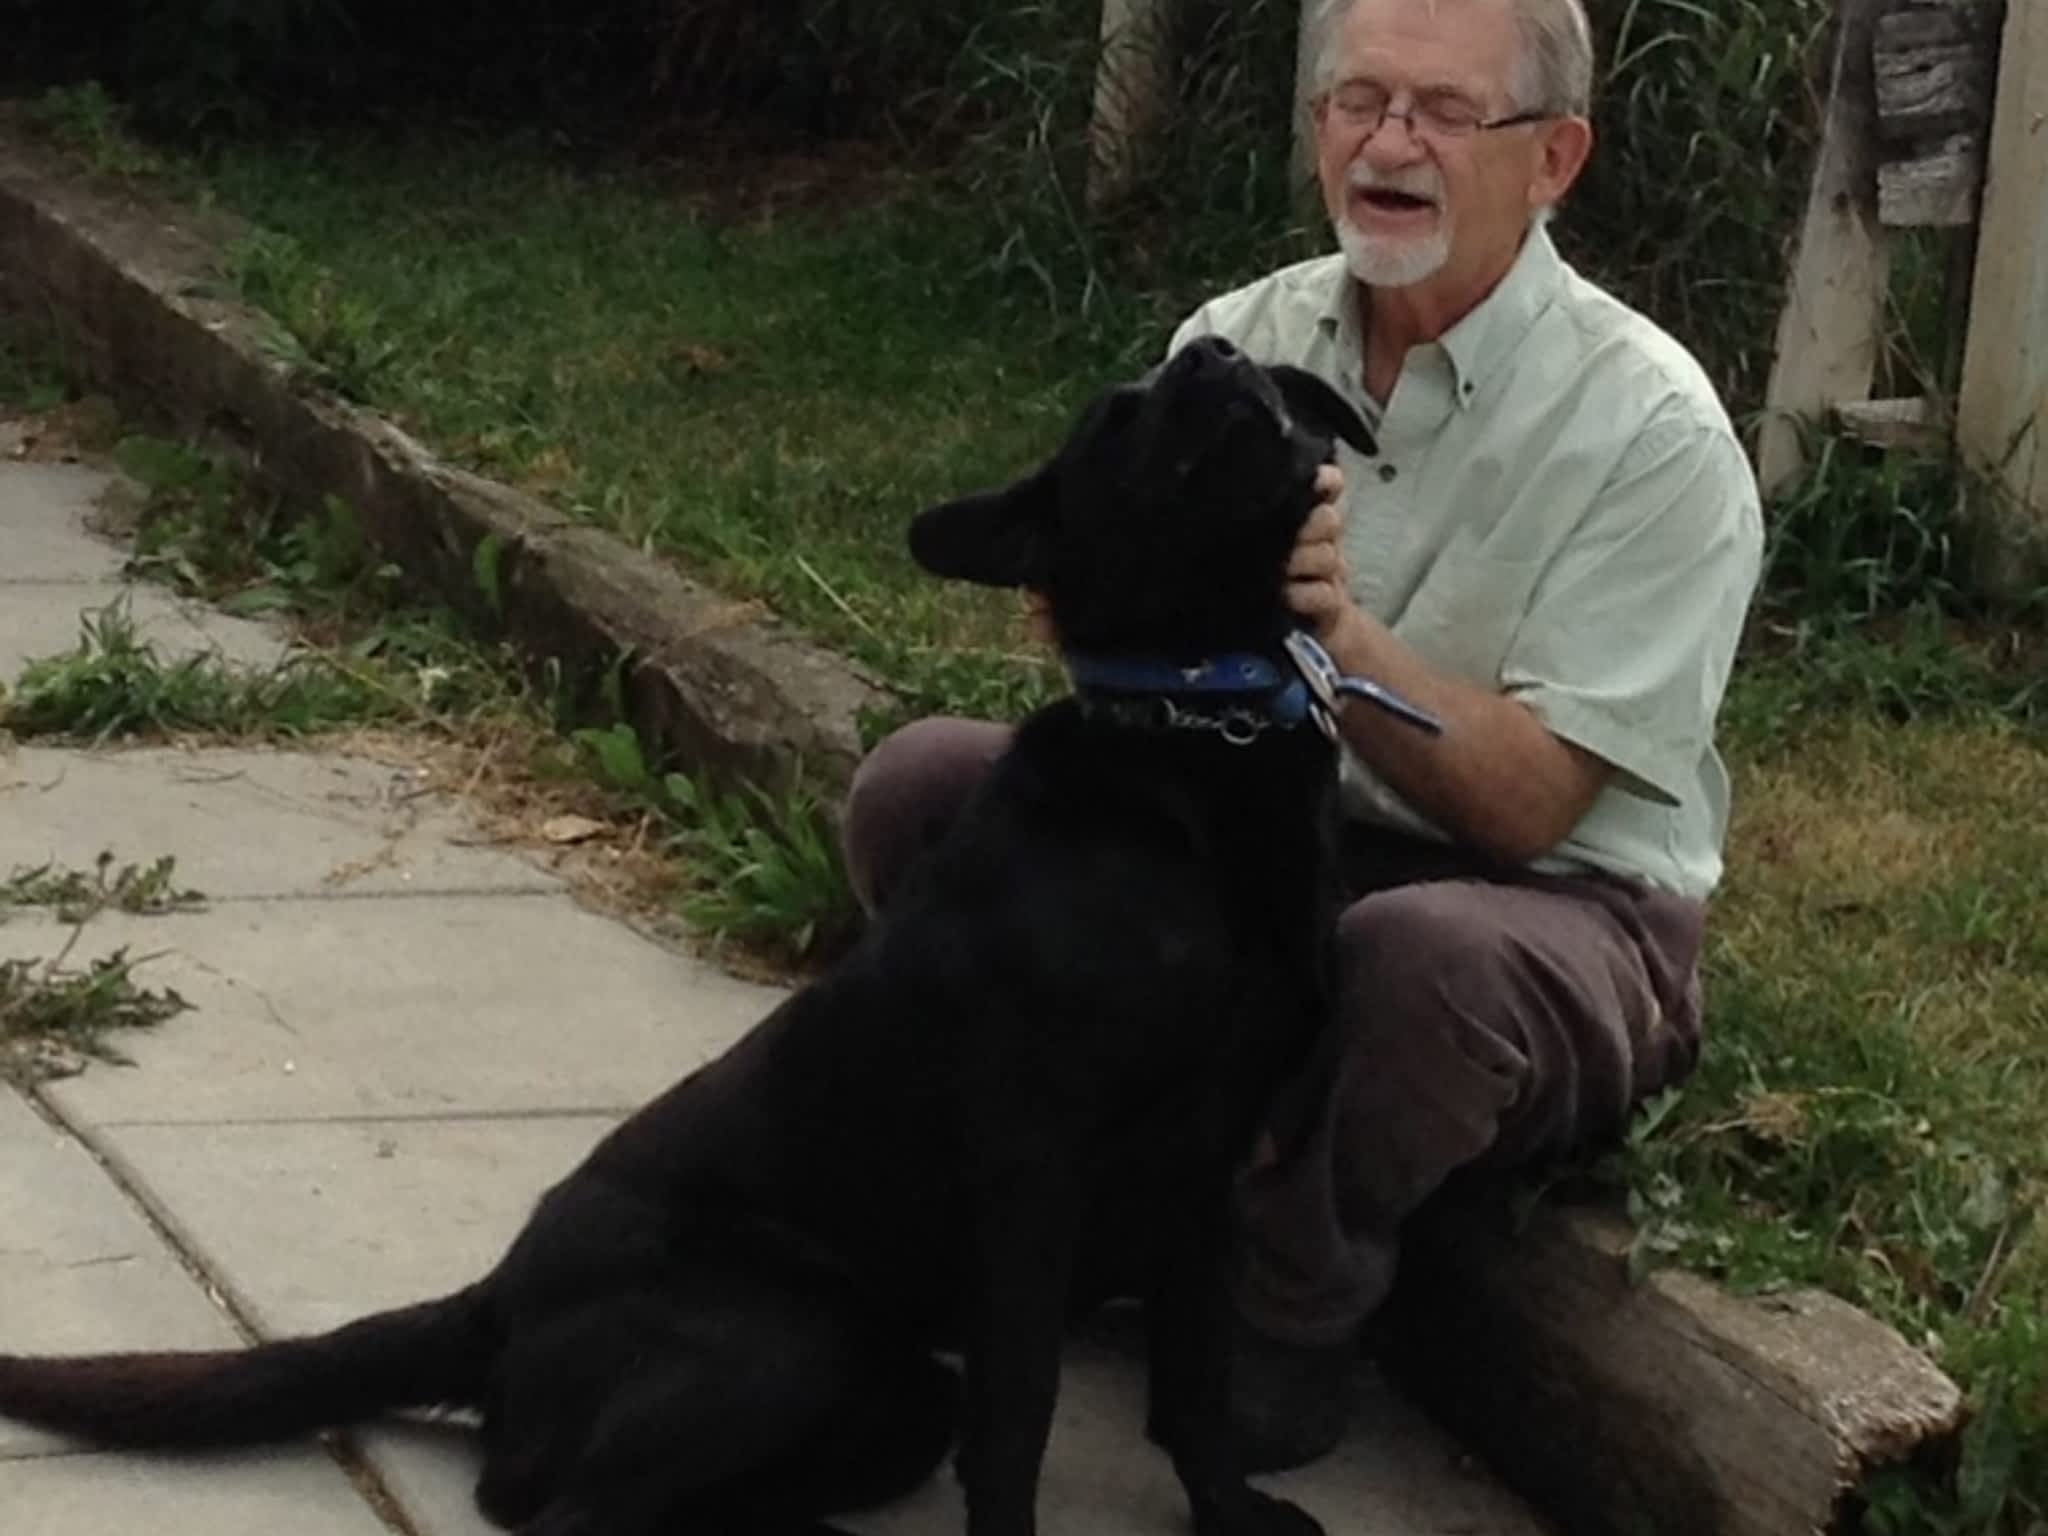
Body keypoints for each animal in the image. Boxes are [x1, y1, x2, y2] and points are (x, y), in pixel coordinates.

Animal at [4, 339, 1376, 1536]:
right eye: (1115, 416)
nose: (1212, 356)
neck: (1191, 734)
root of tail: (499, 1296)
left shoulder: (1205, 1170)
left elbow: (1195, 1386)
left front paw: (1229, 1515)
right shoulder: (1032, 1177)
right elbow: (1022, 1422)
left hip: (891, 1391)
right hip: (788, 1336)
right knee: (556, 1510)